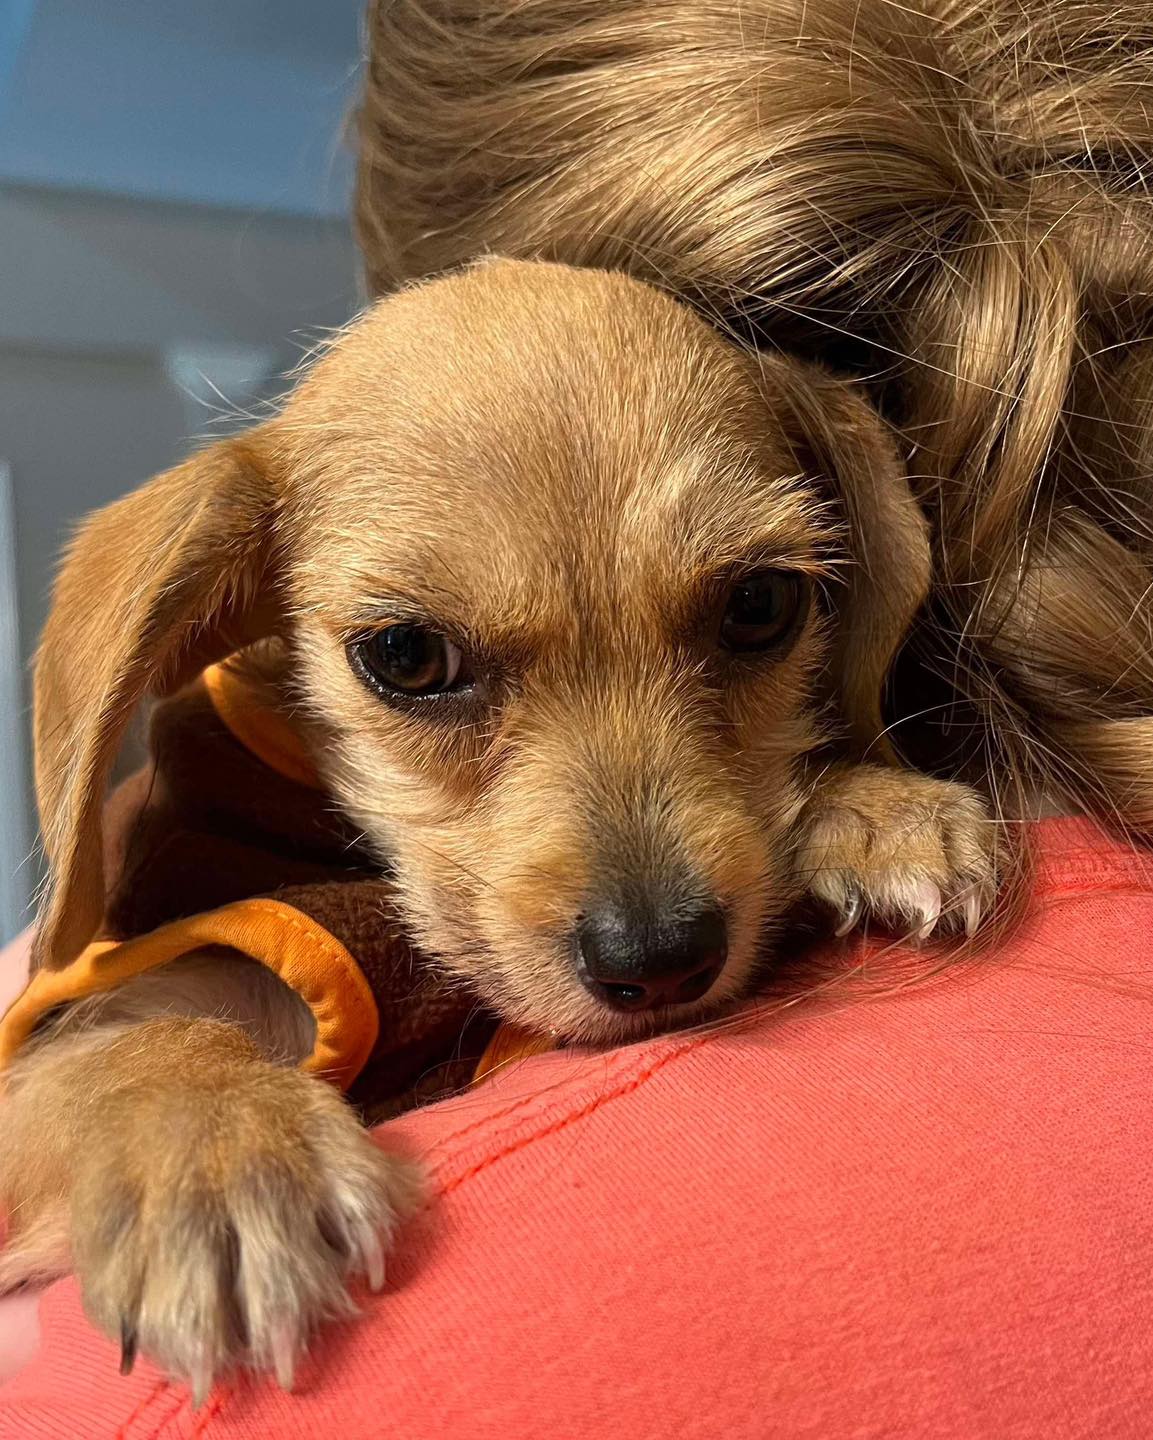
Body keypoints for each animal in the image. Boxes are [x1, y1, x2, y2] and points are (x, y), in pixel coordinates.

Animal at [0, 259, 990, 1393]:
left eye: (758, 607)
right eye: (406, 656)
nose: (659, 962)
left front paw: (872, 806)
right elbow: (137, 1046)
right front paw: (217, 1149)